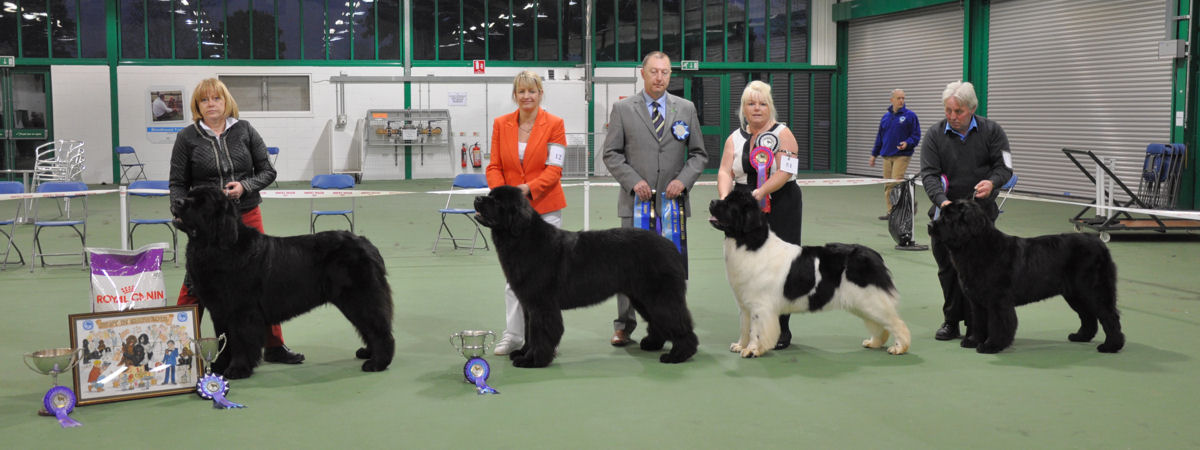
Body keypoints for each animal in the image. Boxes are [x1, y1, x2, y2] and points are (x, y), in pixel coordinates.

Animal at [171, 184, 396, 379]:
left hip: (360, 298)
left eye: (202, 202)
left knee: (378, 328)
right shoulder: (220, 311)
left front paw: (237, 369)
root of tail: (366, 244)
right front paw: (218, 366)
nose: (177, 201)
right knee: (369, 327)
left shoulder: (242, 311)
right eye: (189, 194)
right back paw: (368, 353)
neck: (217, 246)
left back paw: (377, 363)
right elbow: (223, 341)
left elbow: (240, 340)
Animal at [468, 184, 696, 367]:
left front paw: (532, 360)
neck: (523, 238)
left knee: (676, 320)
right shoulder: (529, 305)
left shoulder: (542, 304)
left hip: (659, 295)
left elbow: (541, 332)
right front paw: (523, 352)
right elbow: (529, 332)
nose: (477, 198)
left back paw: (679, 354)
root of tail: (670, 246)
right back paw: (653, 344)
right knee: (659, 320)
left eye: (497, 201)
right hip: (642, 297)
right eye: (490, 194)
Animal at [700, 192, 907, 357]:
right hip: (863, 303)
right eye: (726, 198)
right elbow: (744, 328)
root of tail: (874, 255)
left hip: (870, 299)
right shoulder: (744, 305)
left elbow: (756, 330)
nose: (712, 201)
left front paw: (751, 350)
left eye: (730, 204)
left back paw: (899, 347)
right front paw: (740, 345)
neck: (749, 243)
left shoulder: (760, 306)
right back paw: (874, 342)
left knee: (896, 322)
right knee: (881, 324)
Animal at [926, 199, 1123, 355]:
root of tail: (1099, 243)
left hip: (1094, 290)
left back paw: (1111, 346)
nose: (930, 226)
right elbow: (979, 322)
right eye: (941, 215)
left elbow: (999, 324)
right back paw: (1081, 336)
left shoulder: (998, 301)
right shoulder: (978, 301)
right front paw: (973, 341)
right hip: (1075, 294)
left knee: (1109, 316)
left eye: (948, 218)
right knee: (1088, 316)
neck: (976, 246)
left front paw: (991, 346)